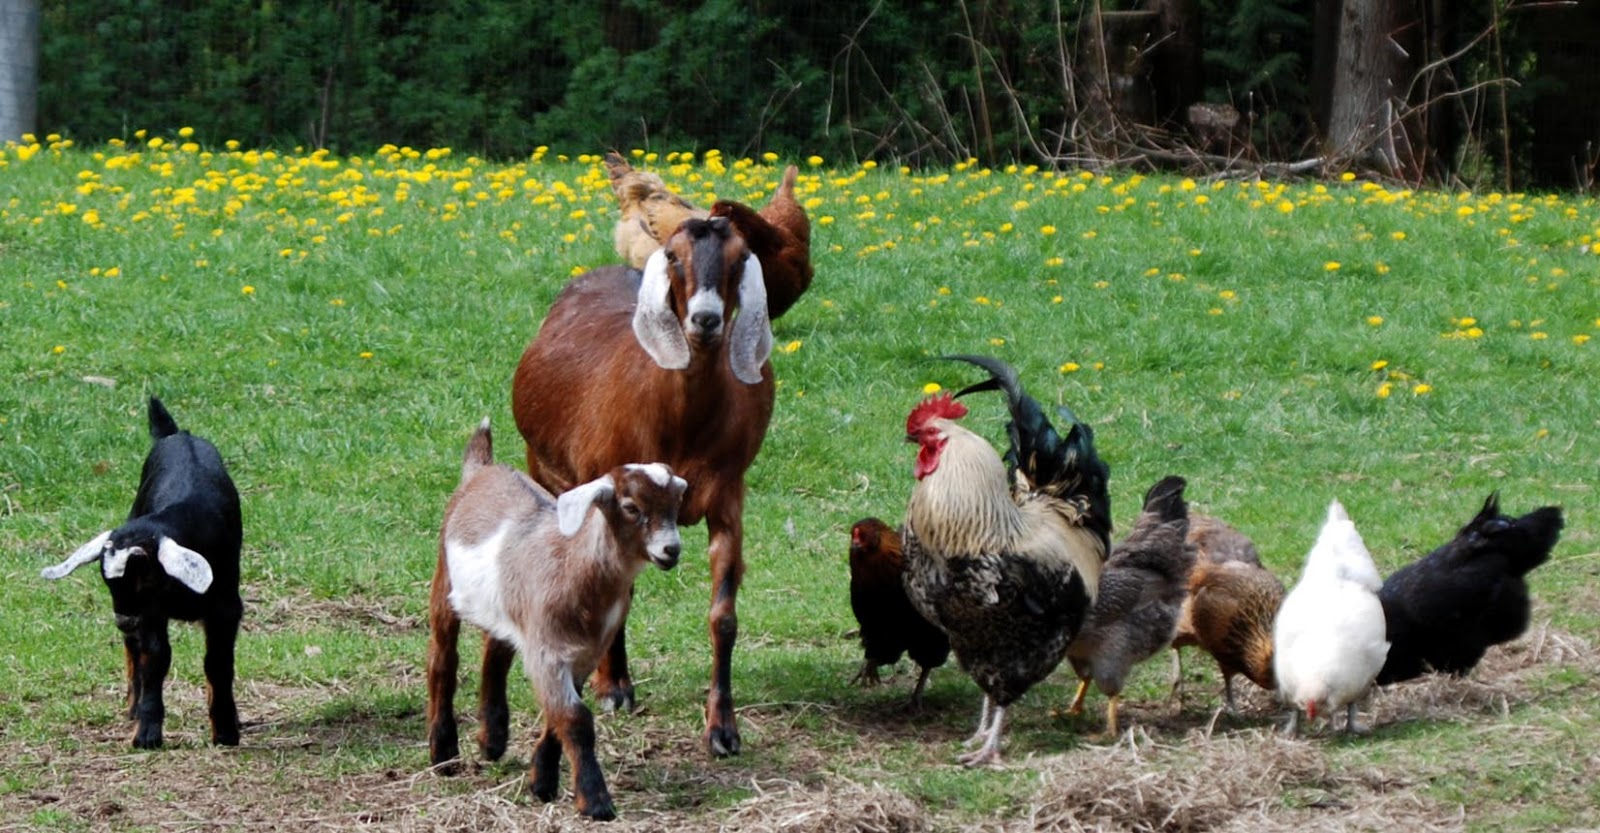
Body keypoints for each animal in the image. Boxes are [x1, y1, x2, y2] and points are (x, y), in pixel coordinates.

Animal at [41, 396, 243, 750]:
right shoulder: (150, 614)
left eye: (145, 576)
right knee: (133, 649)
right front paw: (147, 732)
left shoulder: (226, 609)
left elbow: (217, 663)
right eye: (107, 583)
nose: (123, 620)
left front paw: (225, 730)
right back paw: (134, 705)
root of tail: (178, 434)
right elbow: (155, 659)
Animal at [425, 419, 687, 821]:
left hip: (506, 606)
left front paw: (542, 781)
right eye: (630, 506)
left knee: (494, 654)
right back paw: (443, 752)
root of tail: (483, 468)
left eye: (676, 504)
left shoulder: (583, 652)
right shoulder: (548, 650)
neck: (576, 570)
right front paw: (594, 800)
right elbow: (575, 719)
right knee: (443, 659)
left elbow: (558, 717)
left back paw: (492, 738)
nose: (671, 549)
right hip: (445, 582)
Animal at [510, 216, 773, 757]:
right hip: (542, 464)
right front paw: (613, 688)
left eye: (741, 257)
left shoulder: (728, 497)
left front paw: (722, 728)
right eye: (673, 256)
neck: (680, 423)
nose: (705, 320)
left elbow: (724, 616)